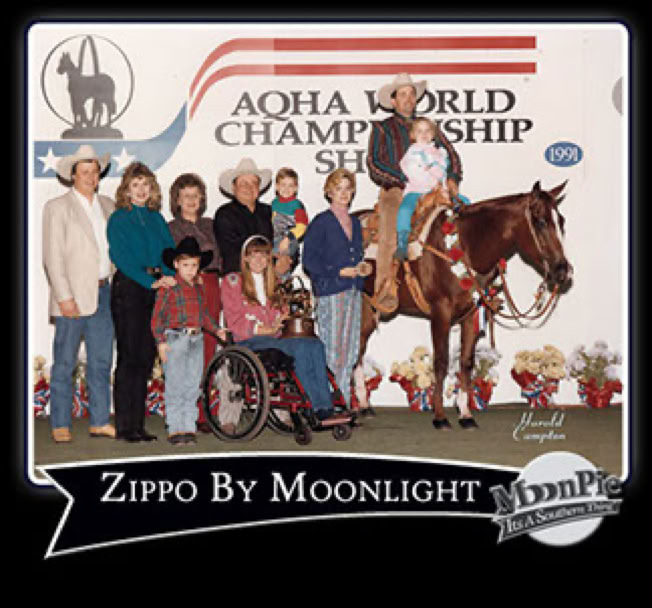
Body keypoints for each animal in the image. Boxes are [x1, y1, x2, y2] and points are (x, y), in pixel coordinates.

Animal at [354, 180, 571, 429]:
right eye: (540, 221)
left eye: (561, 221)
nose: (563, 271)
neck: (465, 246)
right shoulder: (440, 313)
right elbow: (441, 362)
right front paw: (439, 416)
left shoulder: (471, 314)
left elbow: (466, 362)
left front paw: (466, 414)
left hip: (367, 308)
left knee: (358, 347)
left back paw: (363, 405)